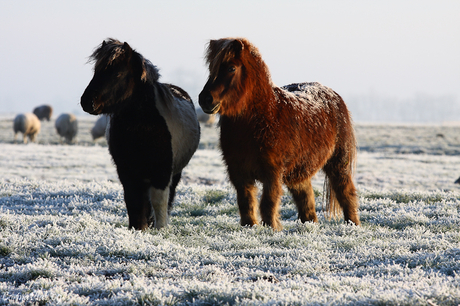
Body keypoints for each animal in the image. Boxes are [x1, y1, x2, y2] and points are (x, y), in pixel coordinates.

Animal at [81, 38, 199, 230]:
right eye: (96, 71)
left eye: (118, 74)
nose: (87, 102)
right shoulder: (127, 171)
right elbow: (134, 203)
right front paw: (137, 229)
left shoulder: (162, 172)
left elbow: (159, 202)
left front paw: (160, 229)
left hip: (174, 173)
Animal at [199, 37, 362, 230]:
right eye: (211, 68)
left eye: (232, 68)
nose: (205, 99)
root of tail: (334, 95)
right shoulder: (239, 173)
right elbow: (246, 203)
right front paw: (250, 227)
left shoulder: (272, 173)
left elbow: (268, 203)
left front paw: (272, 228)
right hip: (299, 172)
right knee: (306, 199)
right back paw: (308, 227)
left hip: (338, 163)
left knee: (346, 193)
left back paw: (353, 225)